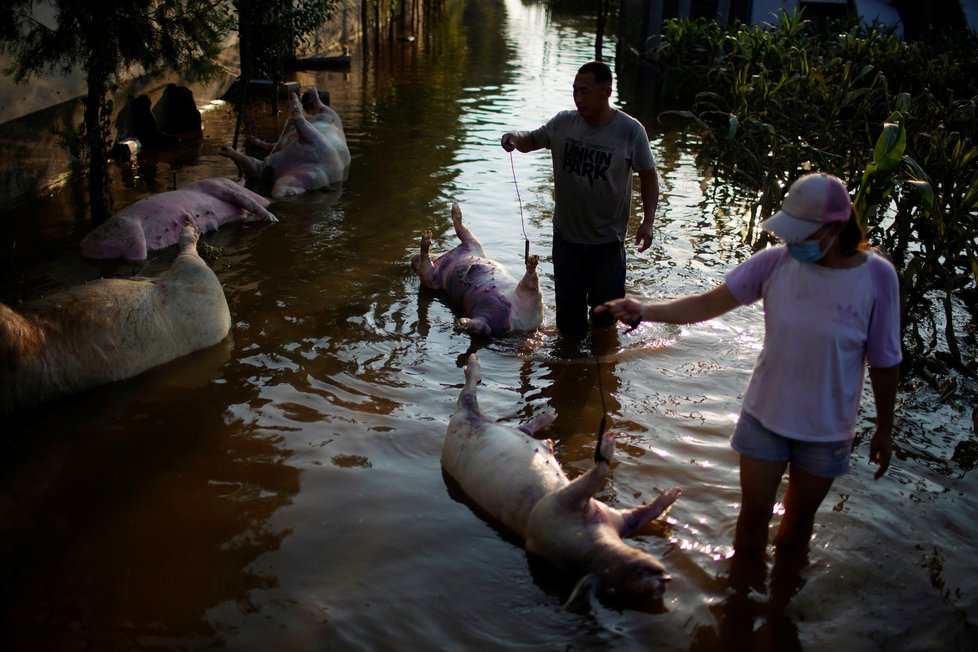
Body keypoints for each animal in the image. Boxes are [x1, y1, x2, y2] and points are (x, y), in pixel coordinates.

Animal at [78, 178, 278, 262]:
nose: (269, 198)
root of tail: (84, 248)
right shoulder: (219, 186)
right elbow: (248, 201)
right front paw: (274, 220)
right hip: (129, 231)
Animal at [219, 86, 348, 199]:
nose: (270, 169)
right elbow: (249, 161)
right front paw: (224, 150)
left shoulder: (315, 142)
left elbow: (250, 161)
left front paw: (224, 150)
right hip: (329, 118)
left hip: (331, 117)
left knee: (321, 108)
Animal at [410, 202, 540, 336]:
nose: (412, 258)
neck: (443, 258)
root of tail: (519, 325)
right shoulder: (431, 280)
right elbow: (426, 268)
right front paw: (426, 238)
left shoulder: (472, 244)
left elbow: (462, 230)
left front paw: (456, 209)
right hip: (491, 309)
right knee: (485, 326)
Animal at [440, 354, 680, 604]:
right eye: (635, 576)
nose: (665, 581)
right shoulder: (561, 500)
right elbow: (595, 477)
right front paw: (607, 444)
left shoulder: (616, 518)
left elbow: (640, 515)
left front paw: (672, 493)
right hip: (463, 421)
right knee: (468, 395)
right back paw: (473, 363)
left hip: (493, 426)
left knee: (521, 427)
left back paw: (548, 419)